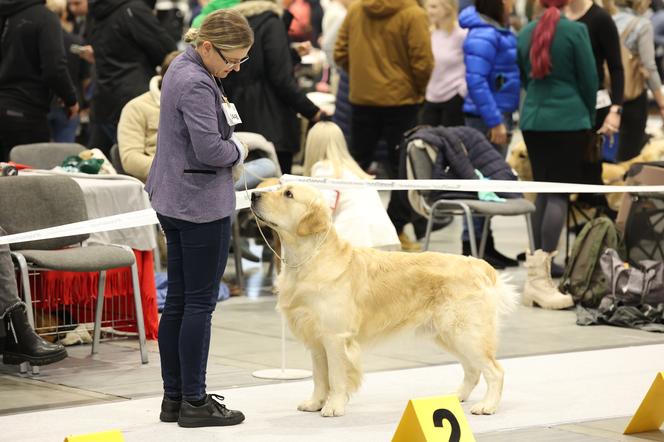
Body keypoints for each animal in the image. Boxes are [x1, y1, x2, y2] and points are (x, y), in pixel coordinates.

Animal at [249, 184, 520, 418]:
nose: (252, 194)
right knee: (473, 370)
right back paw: (456, 396)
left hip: (465, 332)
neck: (309, 258)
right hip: (448, 334)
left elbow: (336, 377)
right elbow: (319, 377)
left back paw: (487, 406)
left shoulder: (335, 337)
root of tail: (481, 265)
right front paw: (315, 403)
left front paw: (333, 406)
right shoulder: (316, 339)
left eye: (288, 194)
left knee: (495, 370)